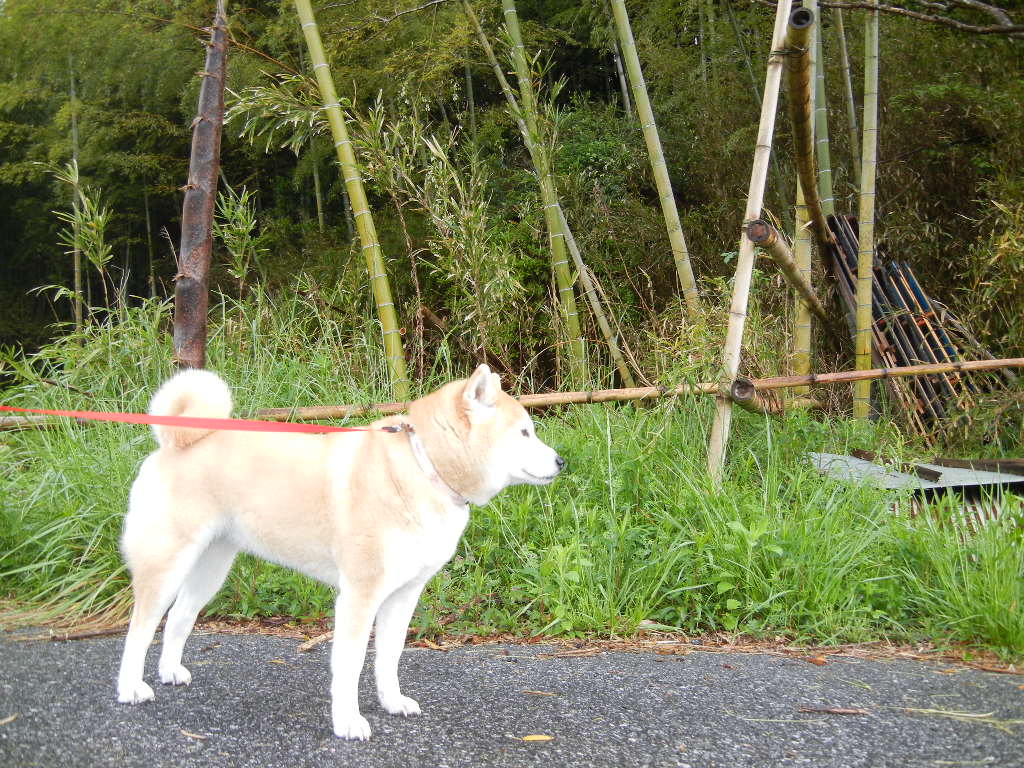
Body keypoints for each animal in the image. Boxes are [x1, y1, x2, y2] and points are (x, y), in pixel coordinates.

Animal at [116, 366, 565, 741]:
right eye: (524, 433)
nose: (562, 461)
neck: (423, 468)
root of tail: (174, 444)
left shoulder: (404, 595)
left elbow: (389, 657)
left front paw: (392, 702)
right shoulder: (360, 595)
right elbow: (350, 666)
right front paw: (348, 722)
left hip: (211, 568)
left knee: (180, 616)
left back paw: (170, 671)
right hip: (167, 563)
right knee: (140, 628)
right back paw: (130, 687)